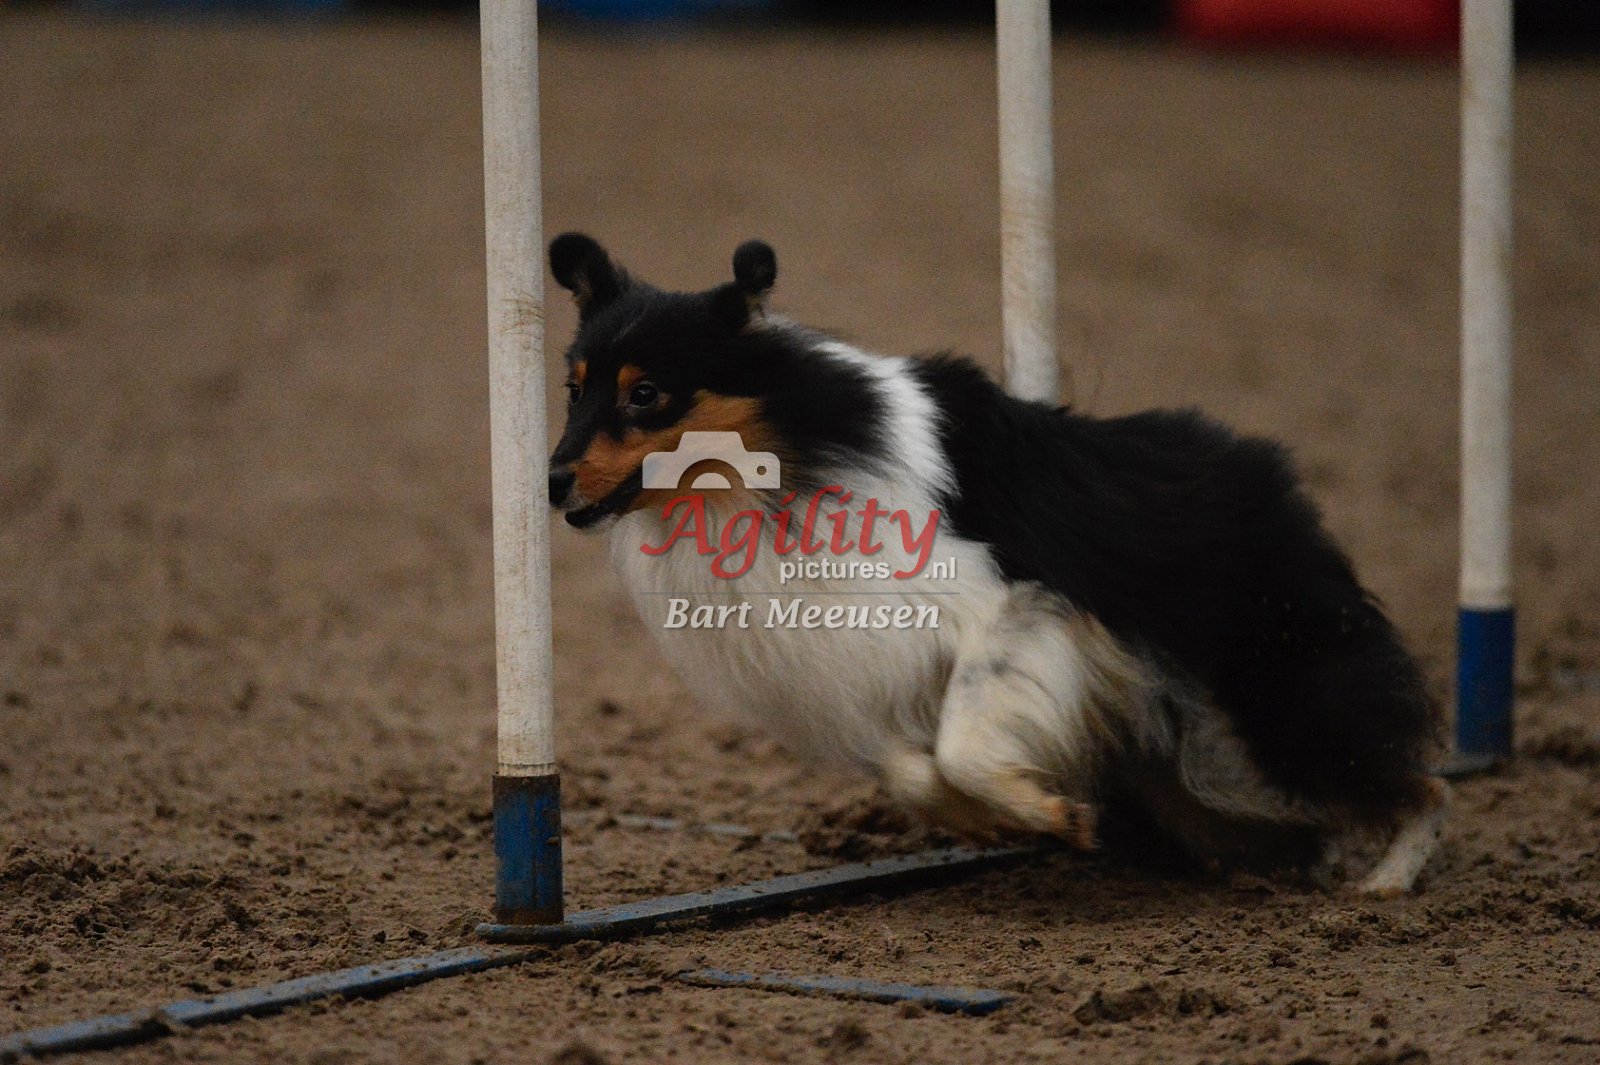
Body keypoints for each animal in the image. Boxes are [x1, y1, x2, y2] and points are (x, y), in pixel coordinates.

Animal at [545, 233, 1447, 895]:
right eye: (574, 388)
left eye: (646, 393)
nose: (550, 482)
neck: (794, 451)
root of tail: (1270, 474)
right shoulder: (863, 672)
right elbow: (911, 769)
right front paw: (1002, 817)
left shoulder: (1012, 611)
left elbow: (963, 742)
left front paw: (1052, 815)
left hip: (1274, 699)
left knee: (1414, 777)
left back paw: (1384, 884)